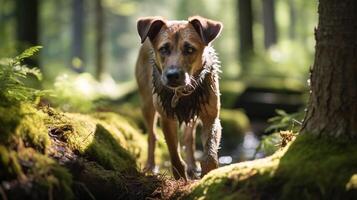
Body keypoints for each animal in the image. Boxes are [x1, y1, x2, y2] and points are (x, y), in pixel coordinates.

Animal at [135, 15, 221, 180]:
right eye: (163, 49)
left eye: (189, 49)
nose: (172, 75)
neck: (182, 93)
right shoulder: (167, 118)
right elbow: (174, 154)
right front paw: (180, 177)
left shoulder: (211, 116)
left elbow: (209, 153)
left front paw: (208, 173)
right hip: (146, 104)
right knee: (152, 135)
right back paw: (151, 166)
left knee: (189, 138)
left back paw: (193, 166)